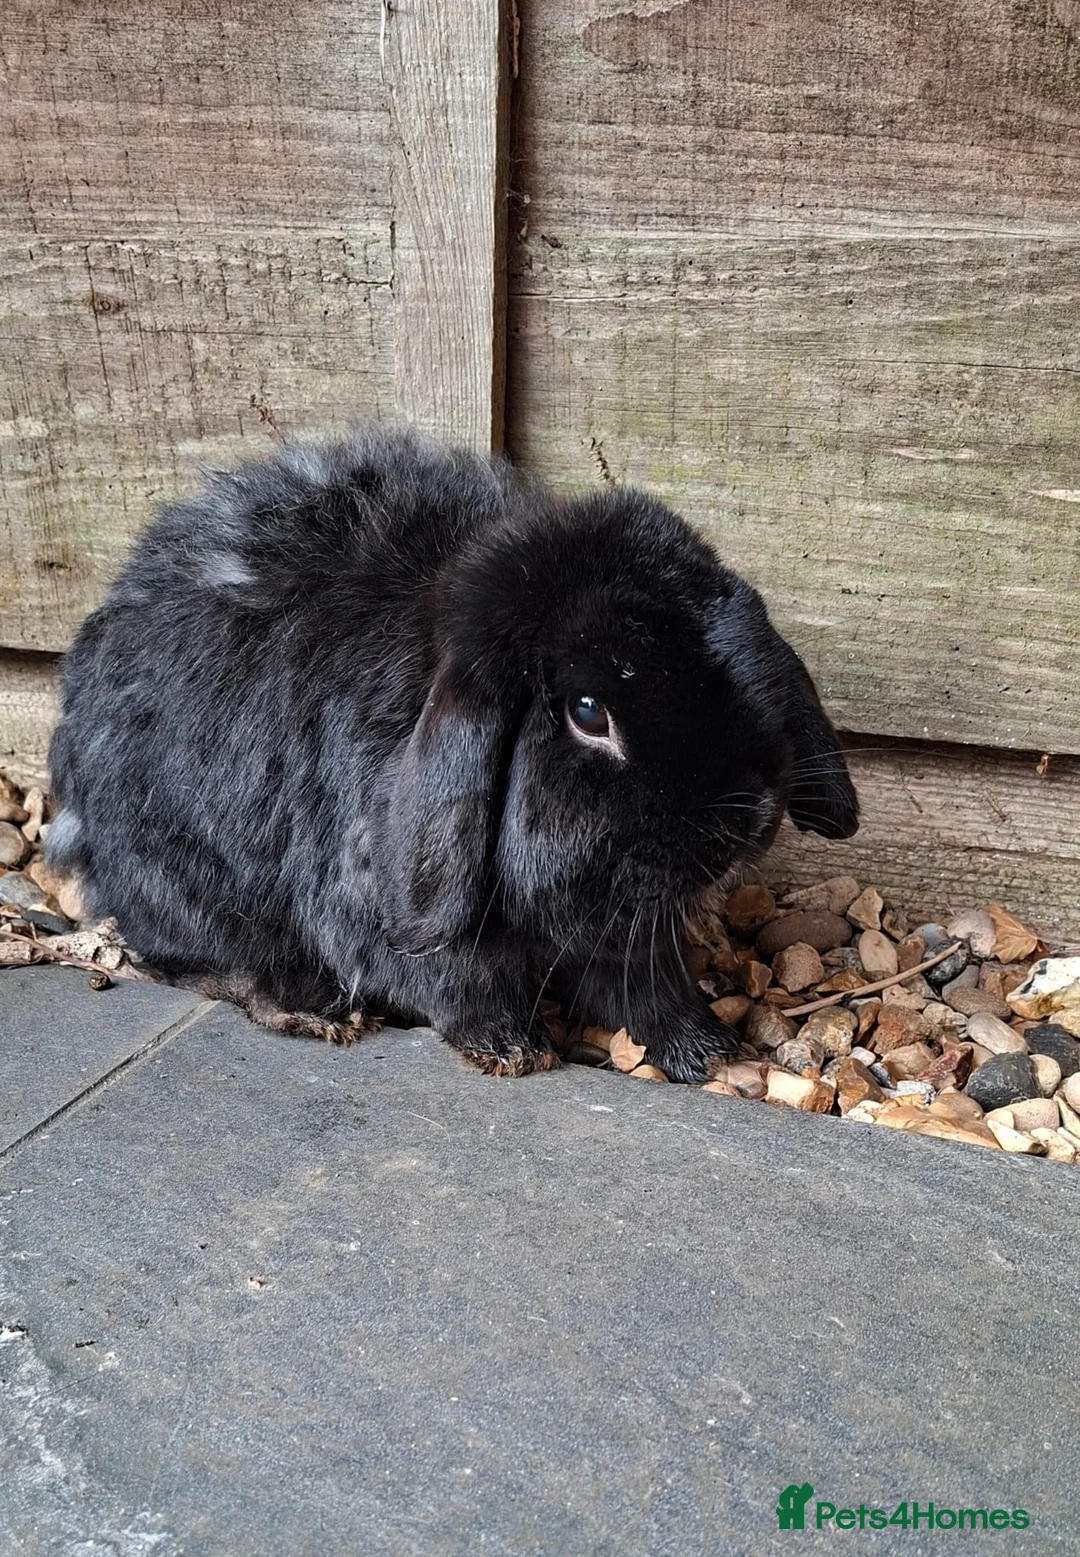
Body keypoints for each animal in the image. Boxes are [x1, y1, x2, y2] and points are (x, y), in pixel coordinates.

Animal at [46, 428, 858, 1082]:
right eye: (588, 712)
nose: (750, 818)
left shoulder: (623, 922)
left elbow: (645, 982)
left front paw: (704, 1049)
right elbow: (461, 980)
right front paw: (512, 1048)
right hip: (180, 877)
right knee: (183, 956)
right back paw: (307, 1007)